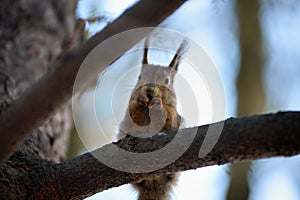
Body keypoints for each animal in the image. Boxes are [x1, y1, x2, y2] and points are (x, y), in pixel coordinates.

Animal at [118, 37, 186, 200]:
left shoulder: (175, 119)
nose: (149, 91)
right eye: (139, 77)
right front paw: (141, 101)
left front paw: (158, 105)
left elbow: (169, 120)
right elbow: (134, 113)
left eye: (167, 81)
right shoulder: (129, 117)